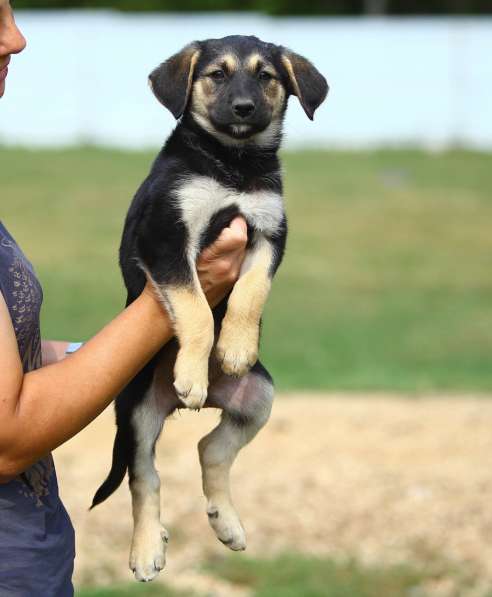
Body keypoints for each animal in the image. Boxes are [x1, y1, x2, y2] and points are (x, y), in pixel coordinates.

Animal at [92, 35, 326, 580]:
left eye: (266, 76)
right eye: (217, 74)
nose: (243, 108)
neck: (233, 166)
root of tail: (173, 406)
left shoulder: (269, 233)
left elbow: (250, 292)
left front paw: (234, 345)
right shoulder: (166, 239)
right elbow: (197, 308)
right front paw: (194, 369)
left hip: (258, 395)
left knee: (211, 449)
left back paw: (227, 521)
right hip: (136, 412)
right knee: (144, 476)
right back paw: (146, 548)